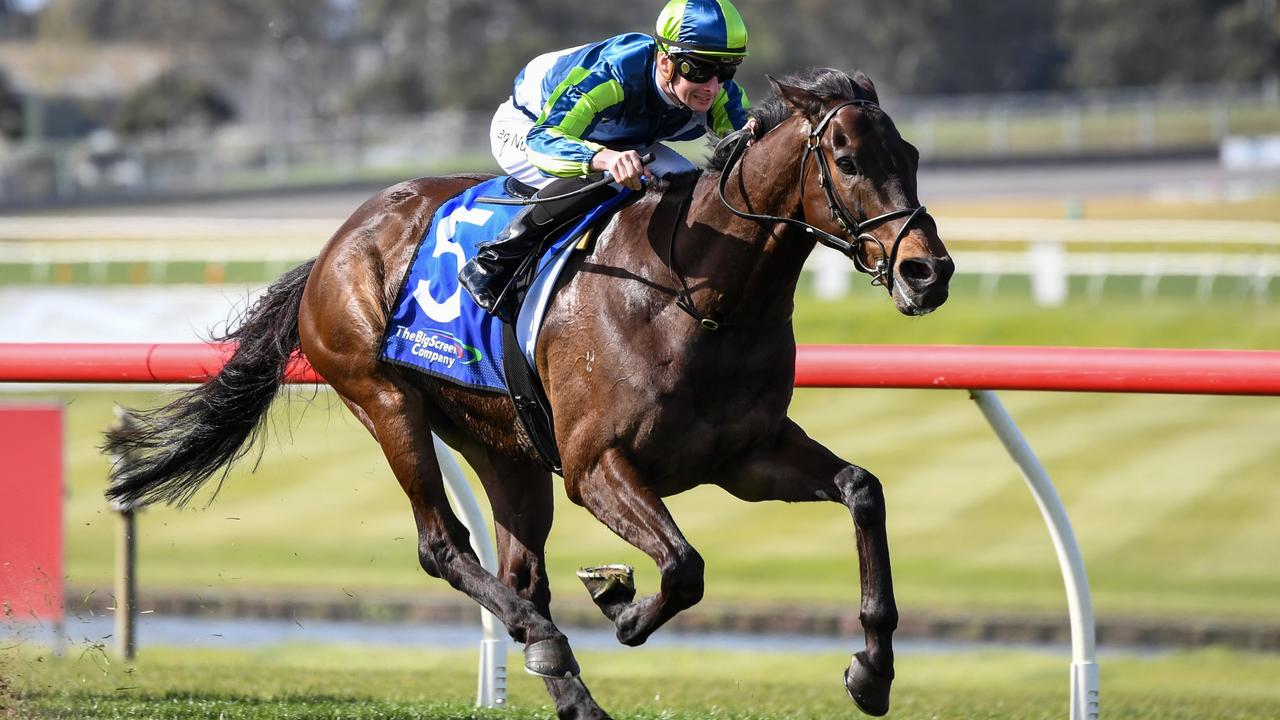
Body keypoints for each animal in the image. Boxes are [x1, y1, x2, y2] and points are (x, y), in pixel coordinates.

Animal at [104, 68, 952, 717]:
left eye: (909, 152)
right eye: (846, 159)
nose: (929, 271)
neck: (696, 292)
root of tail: (334, 244)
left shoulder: (746, 456)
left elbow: (862, 489)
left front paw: (872, 671)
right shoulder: (595, 465)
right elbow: (683, 565)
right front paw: (622, 604)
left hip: (502, 444)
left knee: (519, 571)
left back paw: (569, 684)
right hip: (385, 399)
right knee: (444, 545)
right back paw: (548, 645)